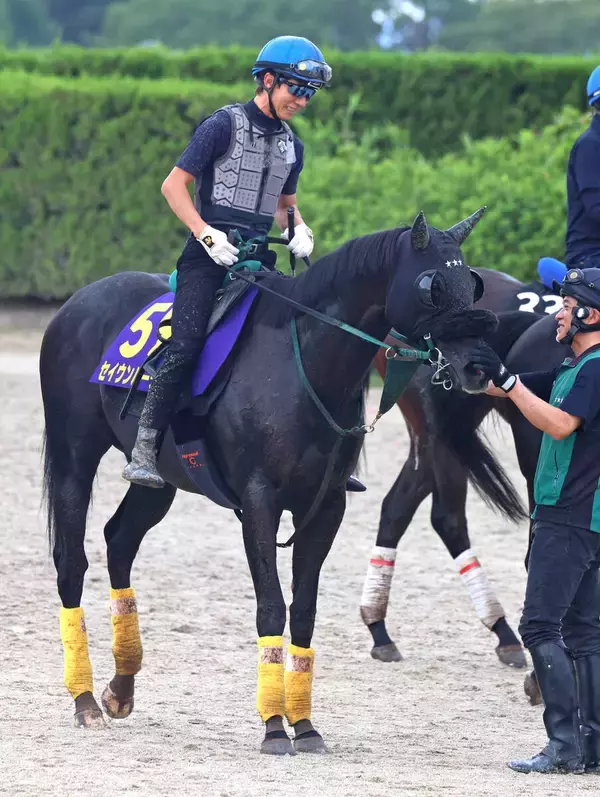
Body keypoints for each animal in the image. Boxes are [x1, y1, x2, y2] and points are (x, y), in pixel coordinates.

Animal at [40, 209, 496, 755]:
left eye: (472, 284)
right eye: (432, 286)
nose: (481, 366)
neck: (304, 365)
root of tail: (77, 302)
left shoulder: (325, 509)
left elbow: (304, 612)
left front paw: (305, 724)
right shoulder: (260, 504)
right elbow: (272, 609)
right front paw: (275, 726)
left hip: (158, 483)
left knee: (119, 542)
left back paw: (121, 687)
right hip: (74, 458)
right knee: (71, 563)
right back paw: (85, 700)